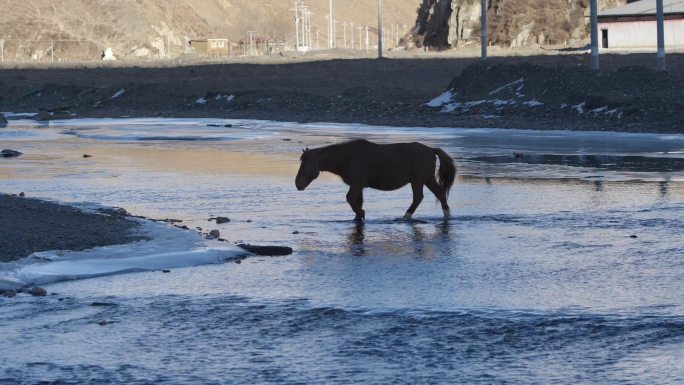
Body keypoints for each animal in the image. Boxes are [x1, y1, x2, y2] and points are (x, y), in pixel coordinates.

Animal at [296, 140, 456, 220]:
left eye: (303, 165)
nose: (298, 184)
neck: (347, 157)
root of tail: (431, 150)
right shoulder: (359, 186)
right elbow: (358, 201)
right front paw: (359, 216)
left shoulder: (356, 184)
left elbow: (350, 199)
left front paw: (361, 214)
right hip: (427, 179)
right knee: (440, 193)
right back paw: (447, 215)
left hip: (417, 180)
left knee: (418, 197)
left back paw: (406, 216)